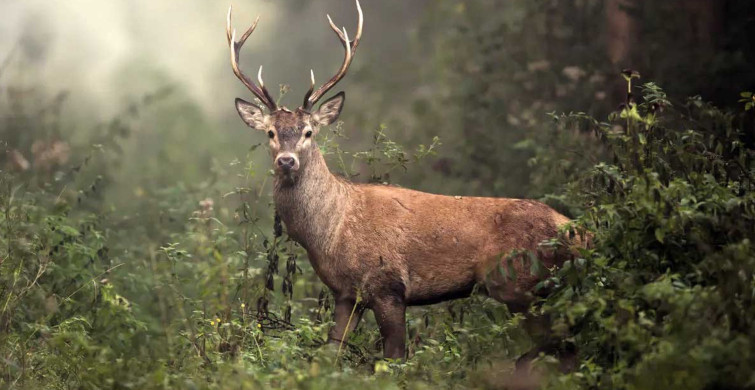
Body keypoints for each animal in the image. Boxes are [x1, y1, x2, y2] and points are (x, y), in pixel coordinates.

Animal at [224, 0, 584, 362]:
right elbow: (330, 354)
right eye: (271, 133)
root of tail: (577, 231)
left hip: (520, 283)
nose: (286, 160)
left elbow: (394, 358)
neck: (330, 233)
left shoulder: (388, 285)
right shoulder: (346, 294)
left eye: (309, 132)